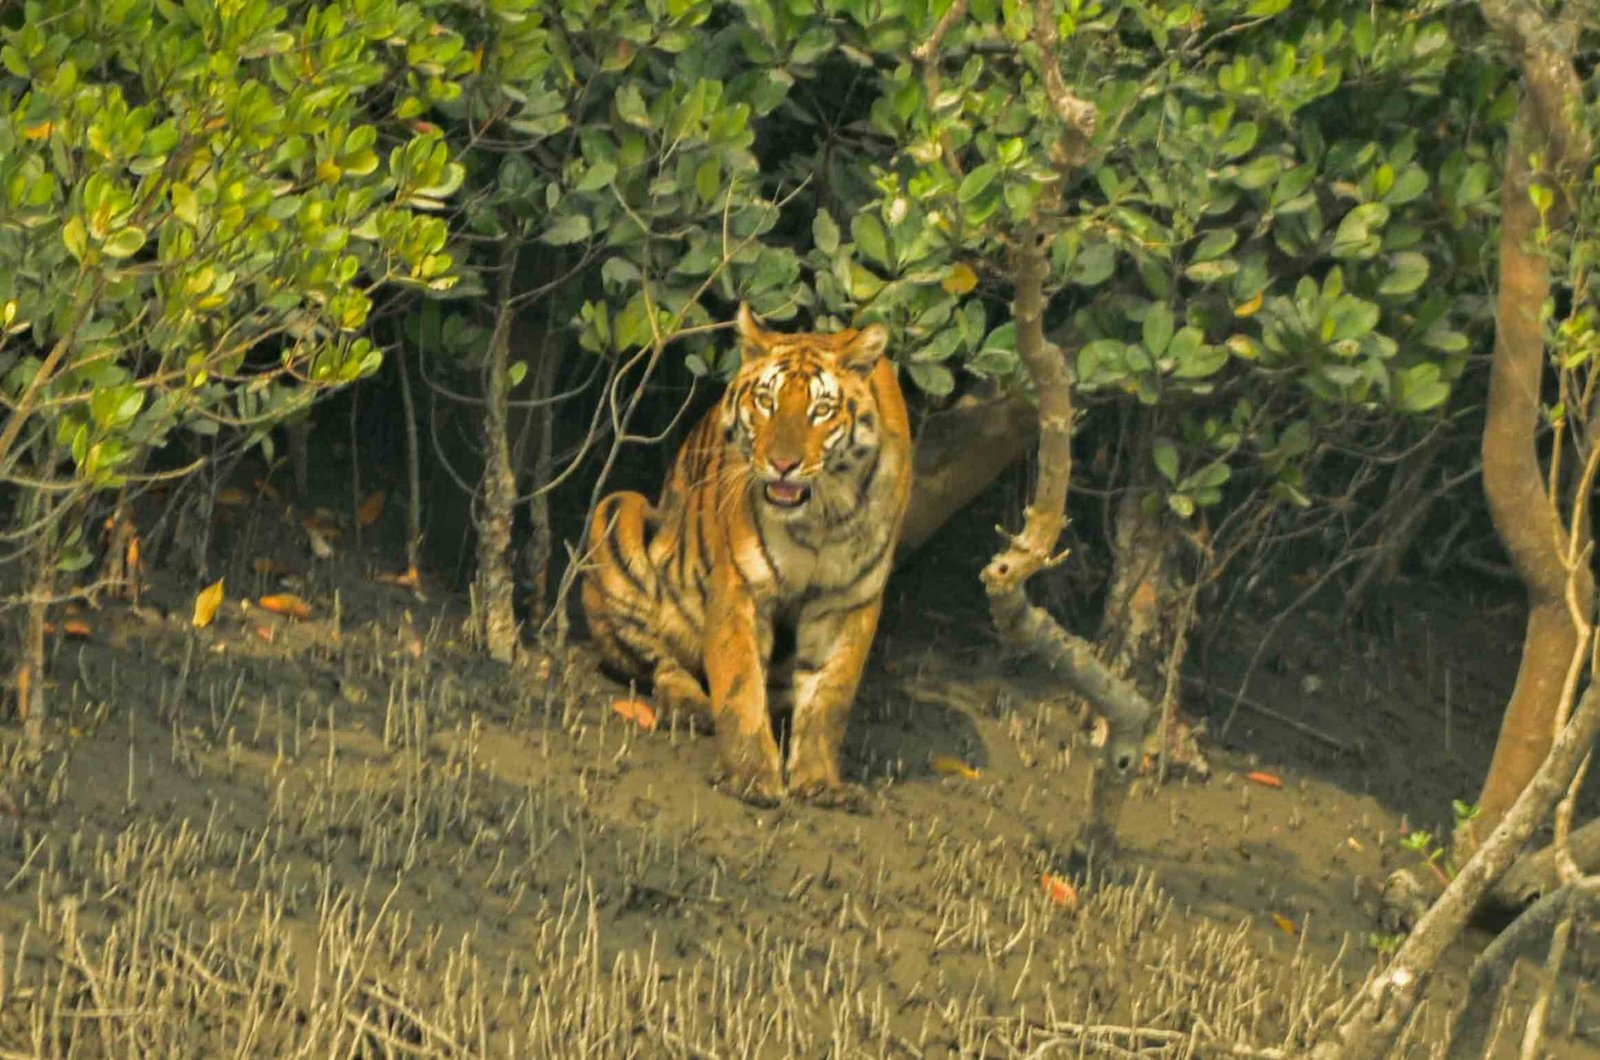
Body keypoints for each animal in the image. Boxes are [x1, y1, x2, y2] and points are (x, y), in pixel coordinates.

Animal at [581, 304, 913, 807]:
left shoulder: (847, 602)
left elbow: (829, 698)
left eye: (821, 410)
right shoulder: (742, 587)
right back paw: (690, 706)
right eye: (766, 401)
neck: (821, 515)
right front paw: (751, 776)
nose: (782, 464)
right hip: (620, 507)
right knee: (659, 661)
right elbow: (740, 684)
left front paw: (820, 782)